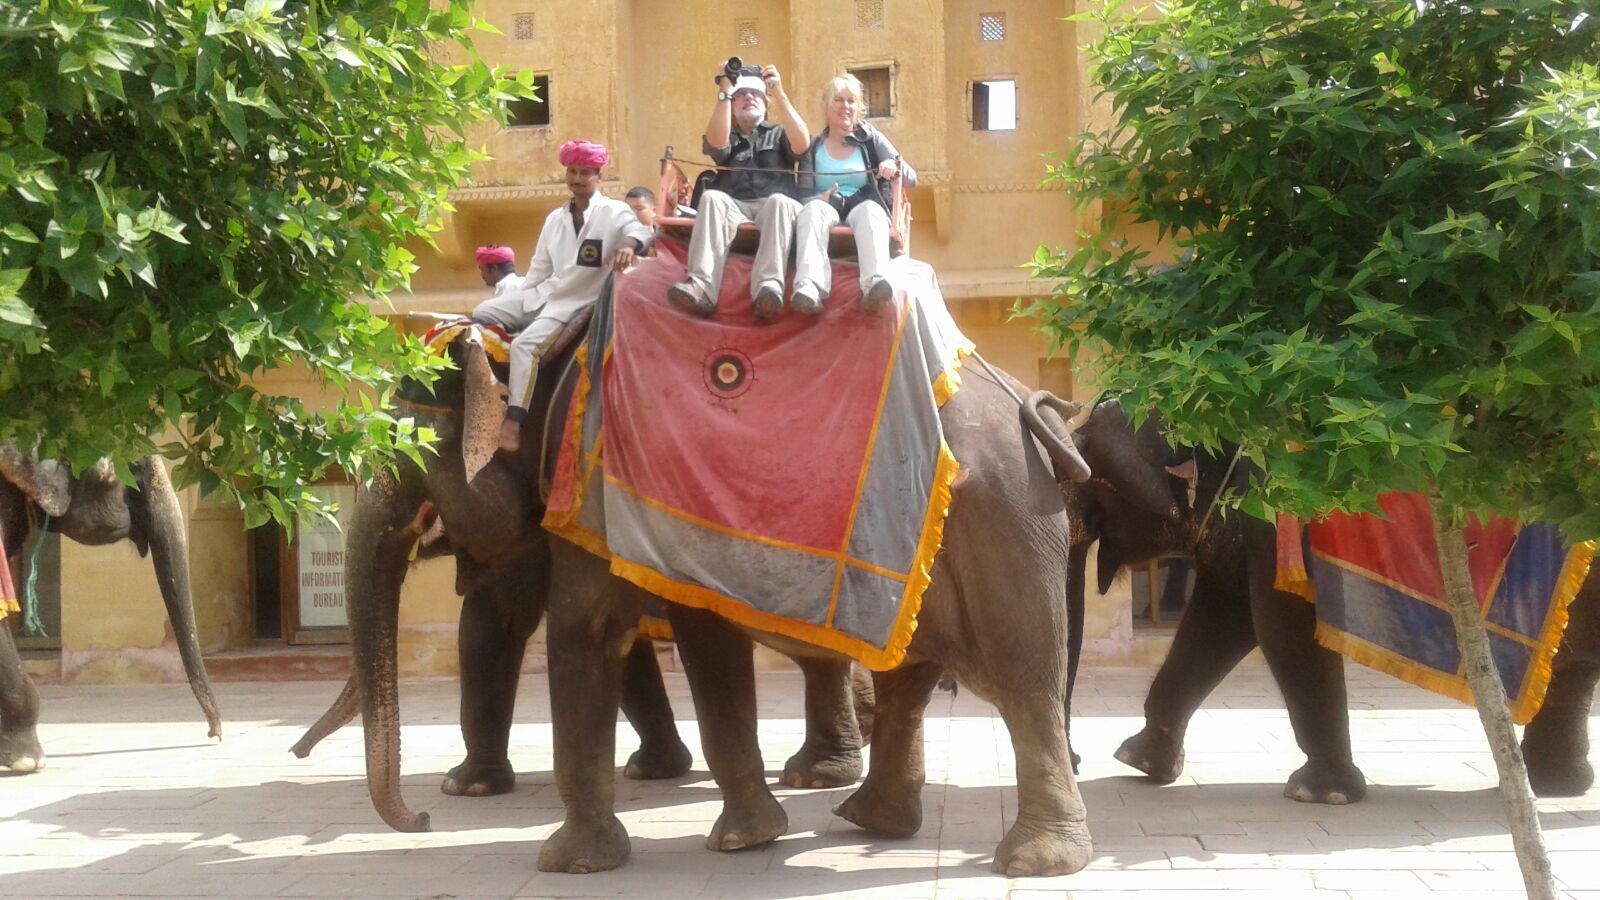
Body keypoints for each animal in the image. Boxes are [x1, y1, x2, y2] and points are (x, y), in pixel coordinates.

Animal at [1062, 395, 1600, 800]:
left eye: (1089, 481)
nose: (1075, 761)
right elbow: (1222, 620)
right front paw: (1140, 762)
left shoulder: (1282, 512)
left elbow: (1283, 628)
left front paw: (1322, 795)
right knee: (1571, 672)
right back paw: (1552, 787)